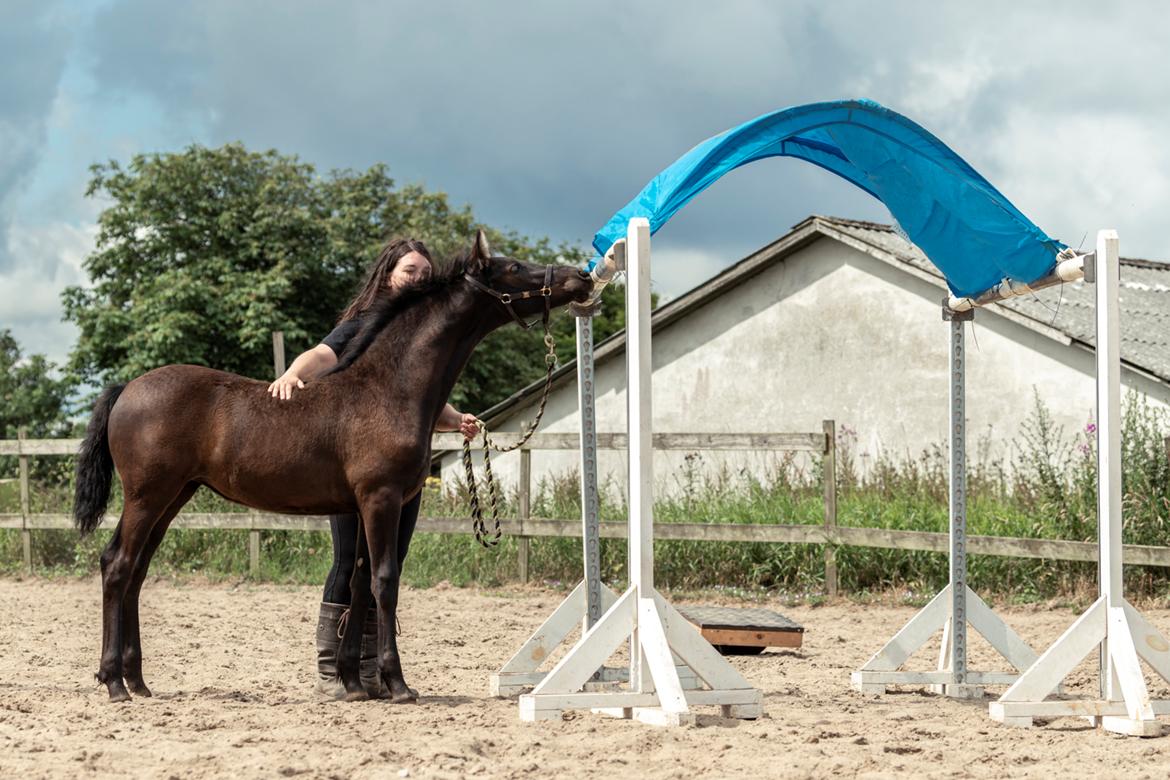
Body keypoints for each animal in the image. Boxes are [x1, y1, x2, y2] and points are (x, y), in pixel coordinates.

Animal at [73, 230, 594, 701]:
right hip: (148, 495)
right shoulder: (380, 499)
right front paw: (397, 685)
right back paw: (114, 682)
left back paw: (138, 682)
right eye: (514, 267)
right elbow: (385, 581)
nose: (581, 278)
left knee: (137, 571)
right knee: (116, 564)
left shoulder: (365, 505)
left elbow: (359, 583)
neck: (389, 389)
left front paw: (354, 683)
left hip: (174, 496)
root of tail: (127, 388)